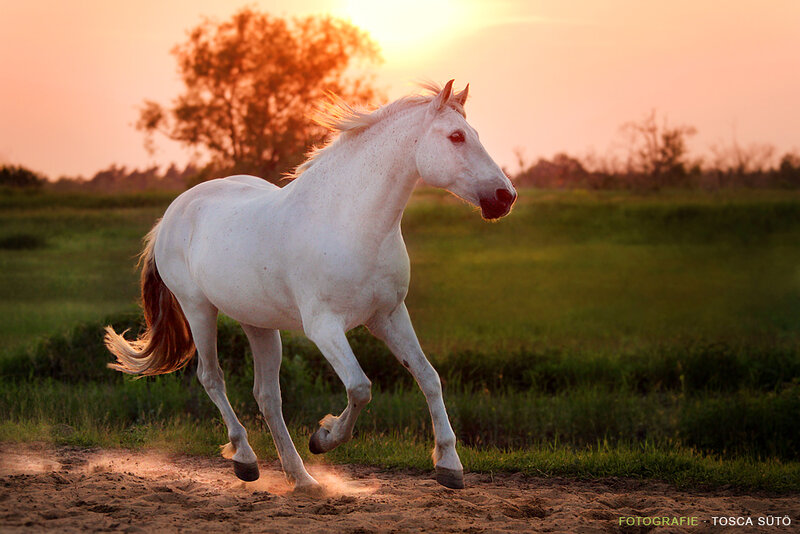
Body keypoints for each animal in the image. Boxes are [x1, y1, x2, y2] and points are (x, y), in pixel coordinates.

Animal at [104, 80, 517, 493]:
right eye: (456, 136)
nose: (505, 197)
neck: (349, 223)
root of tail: (172, 214)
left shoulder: (388, 316)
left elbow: (429, 377)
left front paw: (449, 465)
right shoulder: (324, 327)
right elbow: (360, 387)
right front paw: (323, 437)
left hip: (258, 323)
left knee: (267, 396)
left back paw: (301, 478)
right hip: (198, 310)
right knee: (212, 378)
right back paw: (246, 460)